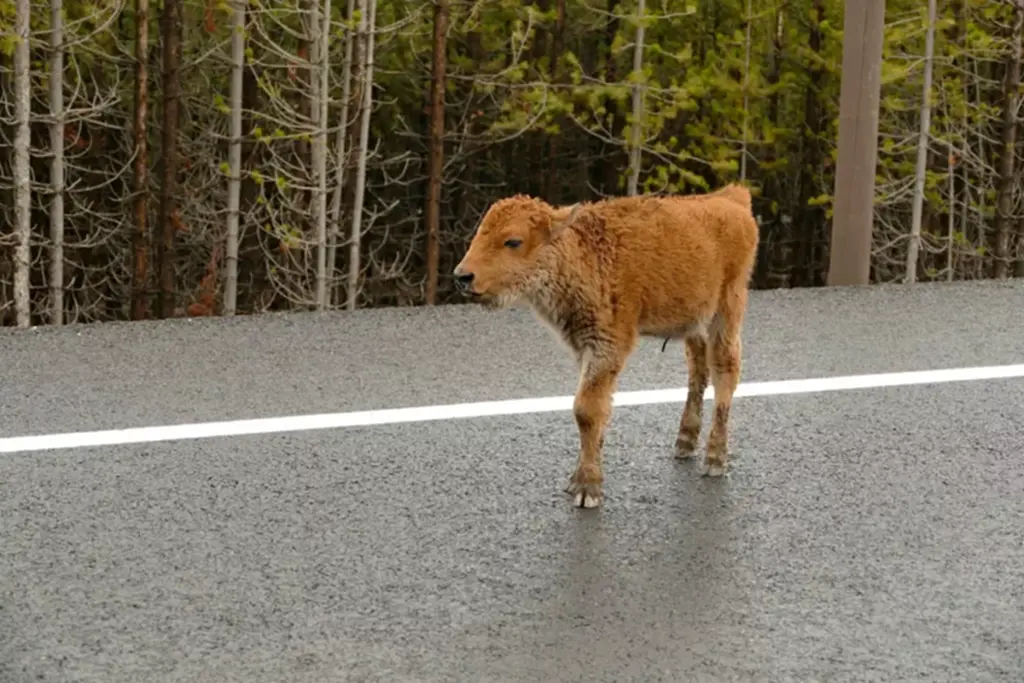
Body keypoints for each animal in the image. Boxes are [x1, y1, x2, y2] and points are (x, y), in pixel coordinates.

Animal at [452, 185, 757, 507]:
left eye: (513, 241)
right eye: (480, 233)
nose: (462, 276)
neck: (585, 255)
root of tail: (732, 198)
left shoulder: (607, 346)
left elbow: (586, 410)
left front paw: (588, 489)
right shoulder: (585, 348)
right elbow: (595, 409)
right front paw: (577, 480)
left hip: (726, 312)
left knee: (725, 371)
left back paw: (715, 459)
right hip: (693, 324)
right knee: (698, 371)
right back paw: (684, 443)